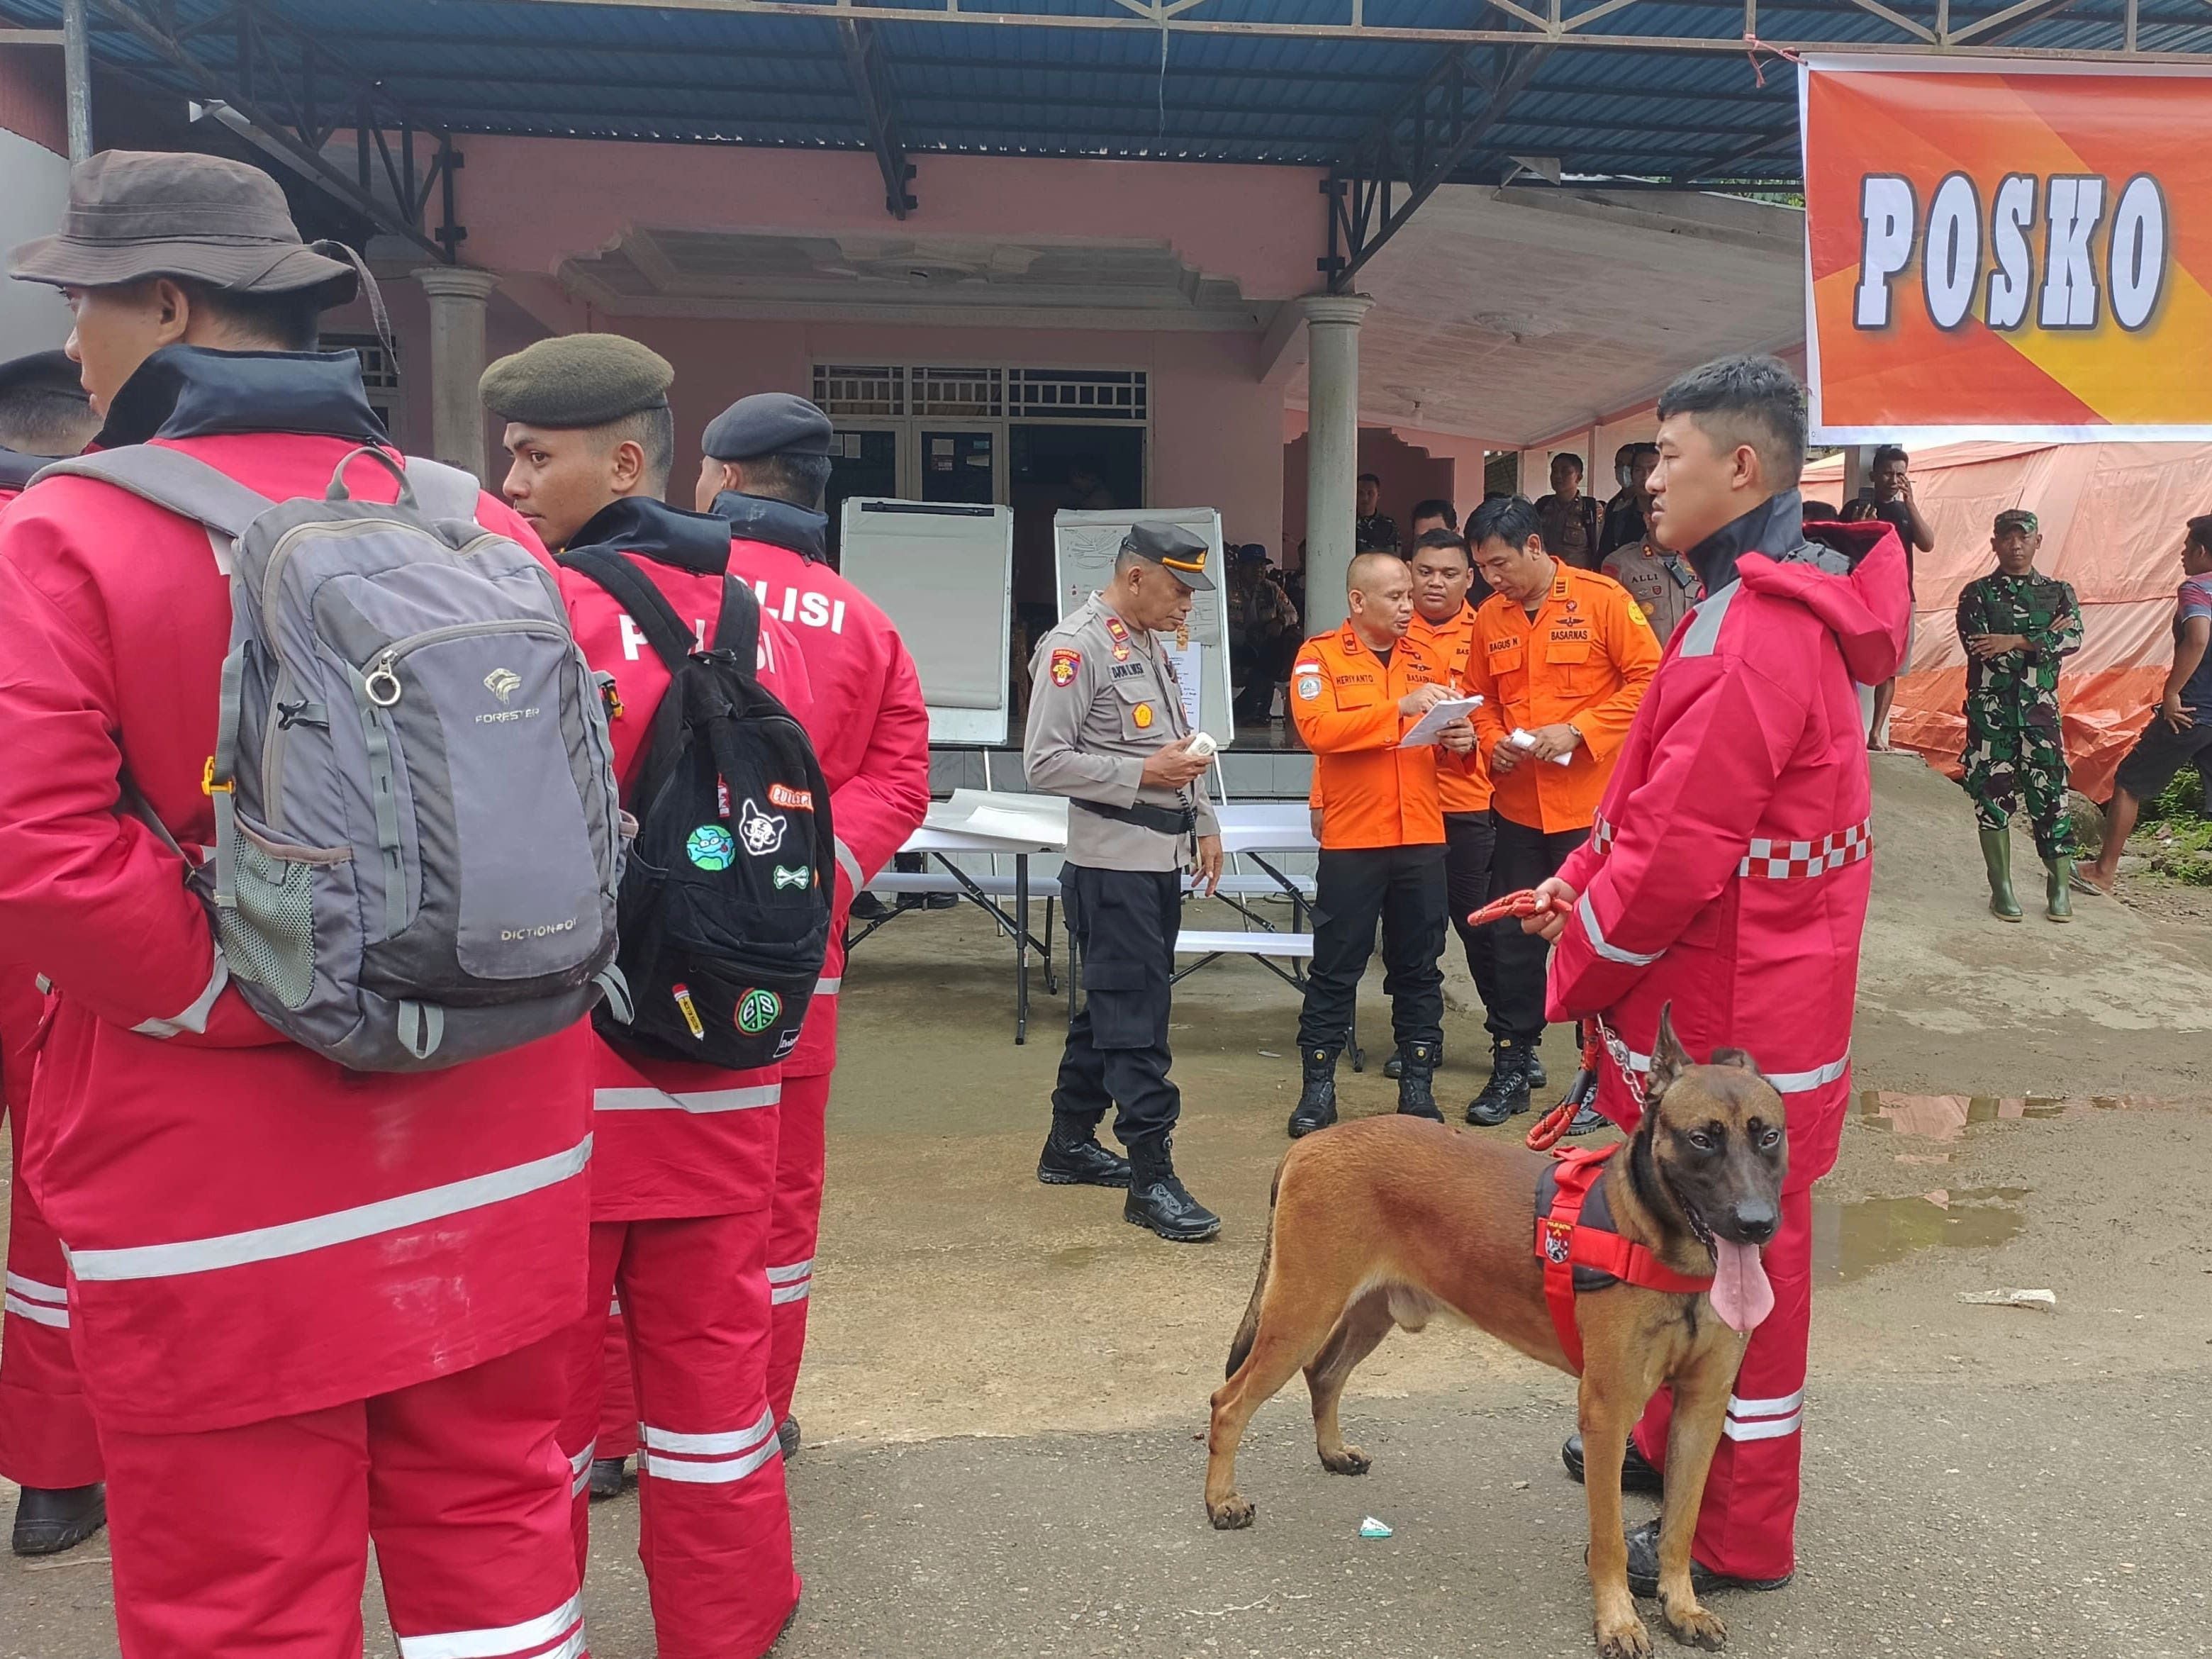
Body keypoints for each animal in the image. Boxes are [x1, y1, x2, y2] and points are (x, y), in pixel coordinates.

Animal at [1203, 1012, 1787, 1659]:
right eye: (1702, 1139)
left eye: (1768, 1137)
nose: (1757, 1224)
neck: (1663, 1246)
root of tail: (1309, 1145)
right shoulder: (1607, 1412)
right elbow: (1608, 1537)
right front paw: (1618, 1620)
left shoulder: (1701, 1409)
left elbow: (1680, 1527)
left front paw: (1681, 1605)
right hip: (1300, 1316)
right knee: (1229, 1402)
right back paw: (1220, 1500)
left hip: (1368, 1313)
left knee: (1325, 1373)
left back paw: (1332, 1451)